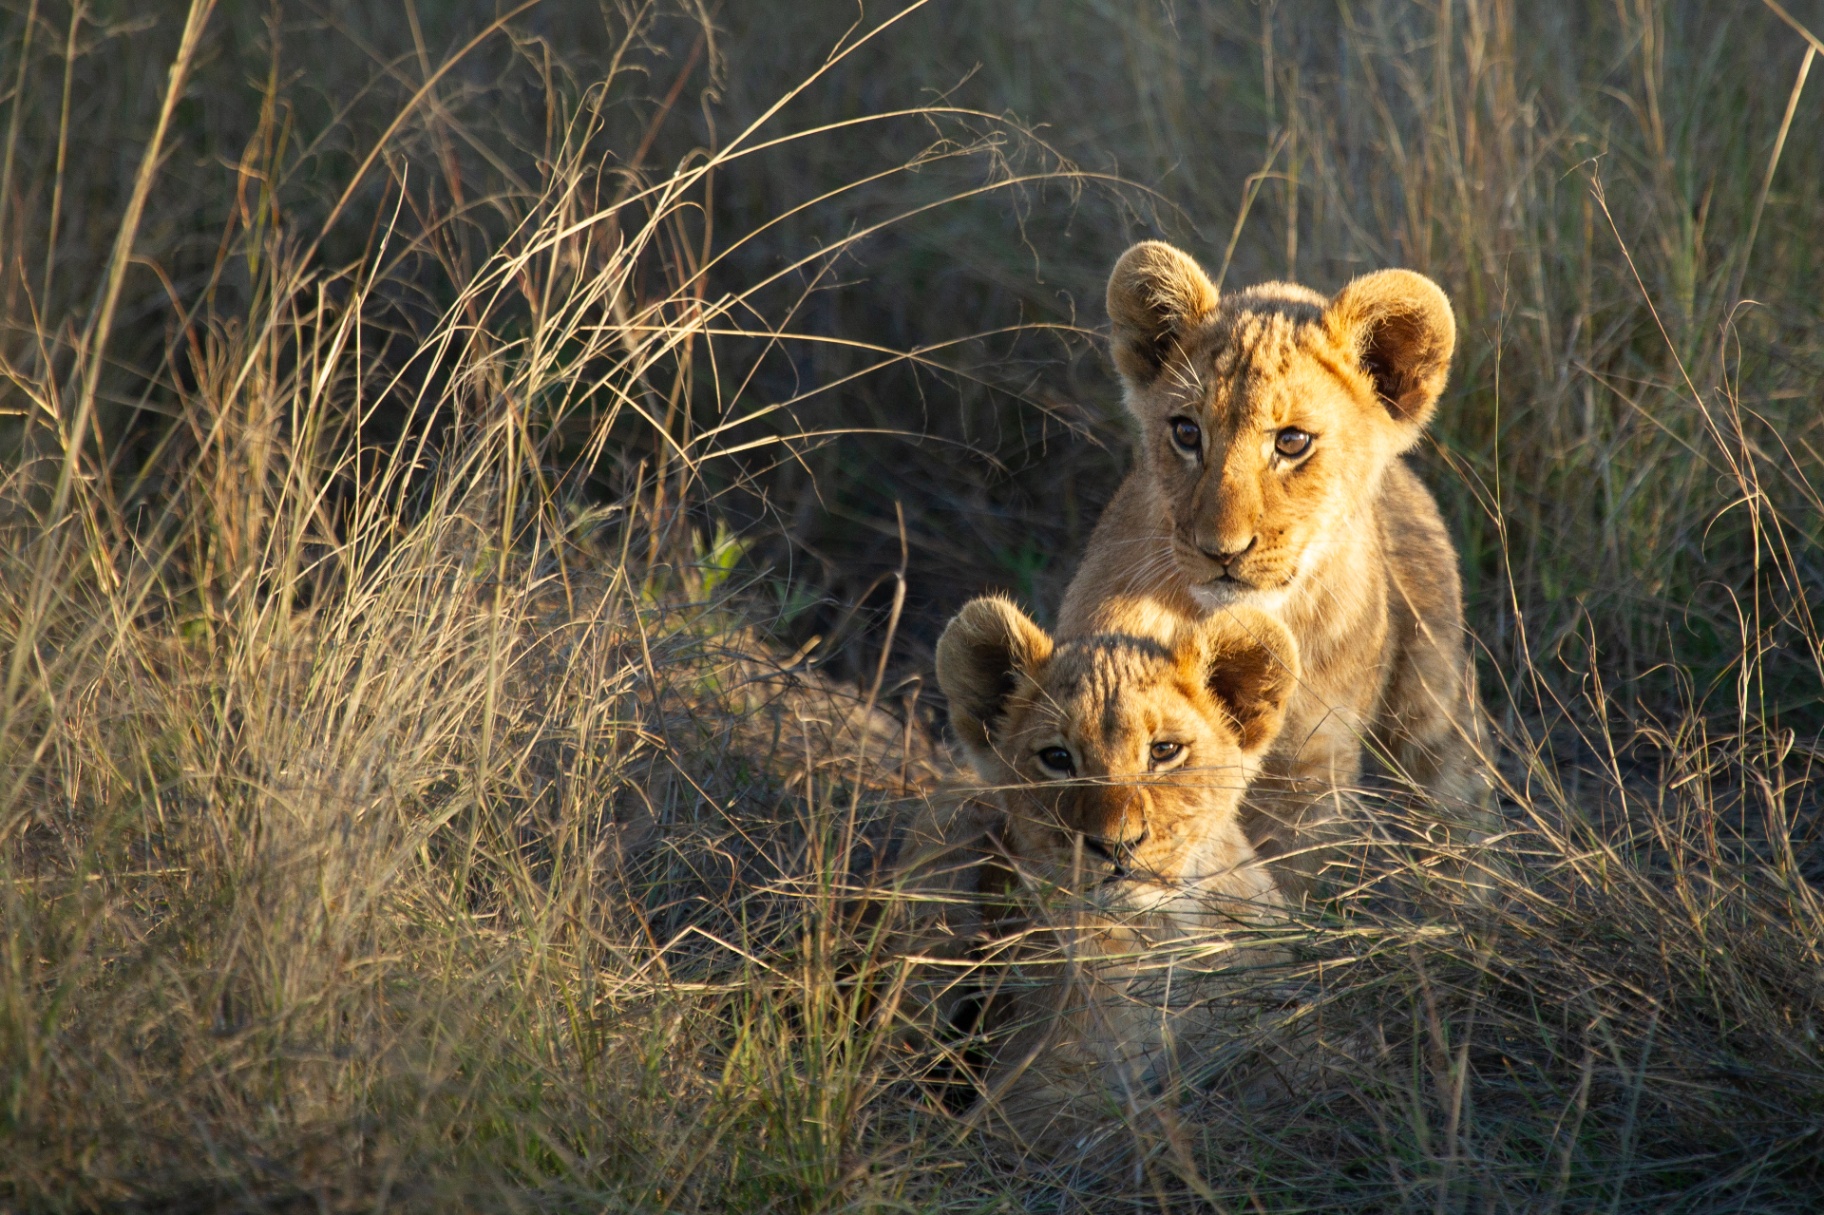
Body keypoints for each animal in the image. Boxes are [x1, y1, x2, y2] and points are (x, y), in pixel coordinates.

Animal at [895, 594, 1299, 1155]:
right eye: (1057, 758)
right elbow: (1135, 1132)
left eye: (1164, 751)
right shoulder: (1027, 1101)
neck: (1163, 935)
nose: (1116, 845)